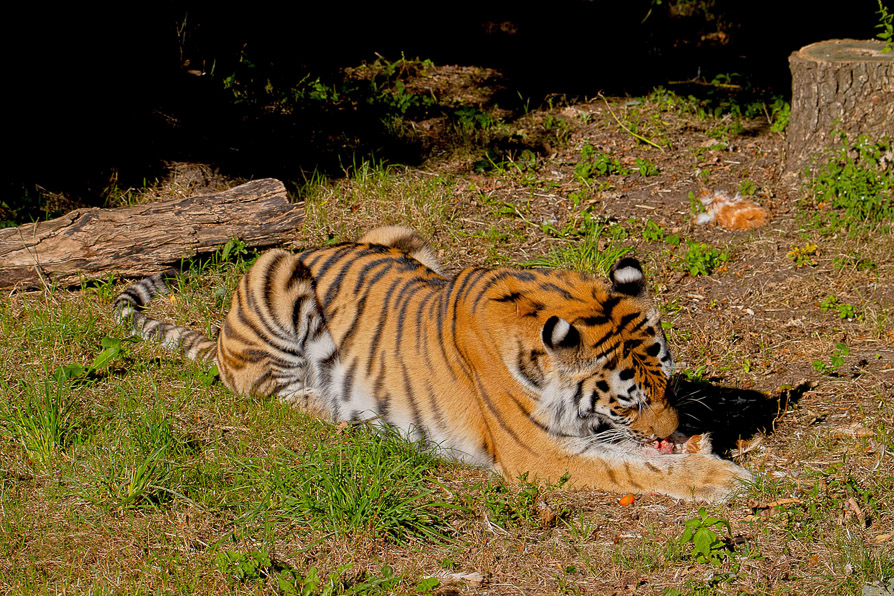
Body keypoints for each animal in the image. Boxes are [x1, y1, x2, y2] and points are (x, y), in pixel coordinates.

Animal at [114, 226, 751, 502]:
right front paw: (721, 477)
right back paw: (337, 414)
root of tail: (220, 338)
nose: (673, 430)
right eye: (627, 401)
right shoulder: (540, 456)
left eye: (668, 385)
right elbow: (635, 468)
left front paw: (699, 446)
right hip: (274, 267)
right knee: (275, 392)